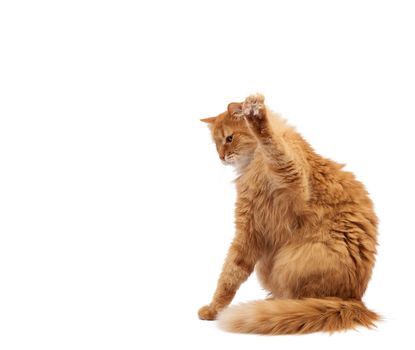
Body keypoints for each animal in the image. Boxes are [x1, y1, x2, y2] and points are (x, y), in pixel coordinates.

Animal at [199, 94, 380, 334]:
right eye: (216, 143)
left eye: (229, 138)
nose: (221, 156)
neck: (253, 163)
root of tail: (354, 300)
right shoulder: (250, 228)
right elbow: (230, 274)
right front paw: (214, 309)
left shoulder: (293, 179)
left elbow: (273, 144)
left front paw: (257, 116)